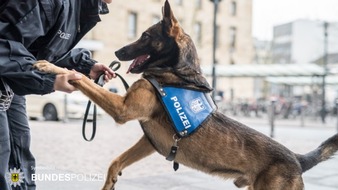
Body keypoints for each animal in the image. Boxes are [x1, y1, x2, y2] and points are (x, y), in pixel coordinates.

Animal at [33, 0, 338, 189]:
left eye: (145, 35)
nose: (117, 52)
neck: (174, 72)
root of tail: (298, 159)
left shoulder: (123, 109)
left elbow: (82, 79)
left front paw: (51, 66)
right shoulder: (150, 141)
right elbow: (115, 161)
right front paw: (110, 182)